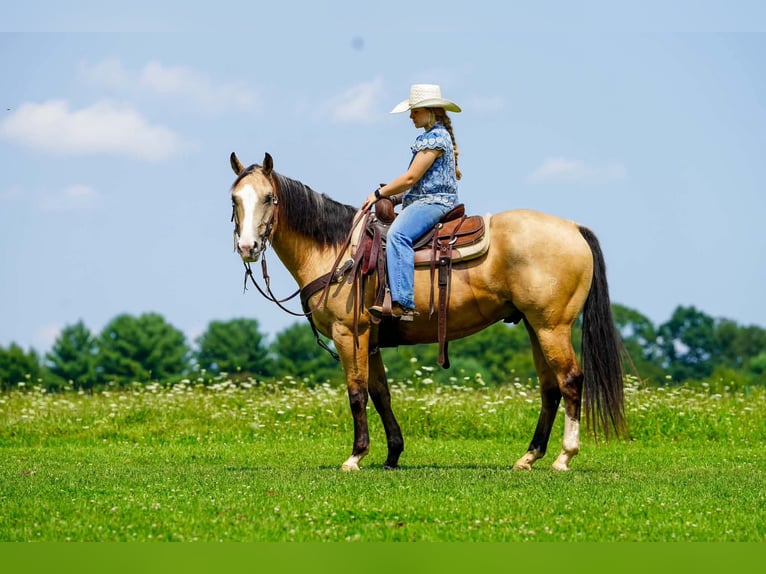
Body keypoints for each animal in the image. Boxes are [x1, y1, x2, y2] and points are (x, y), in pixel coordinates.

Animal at [229, 152, 625, 472]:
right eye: (234, 198)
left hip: (551, 326)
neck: (338, 249)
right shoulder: (372, 339)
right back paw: (528, 457)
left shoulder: (350, 333)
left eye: (269, 197)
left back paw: (564, 457)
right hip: (534, 326)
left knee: (570, 380)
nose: (248, 246)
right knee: (550, 388)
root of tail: (574, 228)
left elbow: (357, 392)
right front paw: (392, 455)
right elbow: (381, 394)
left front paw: (355, 456)